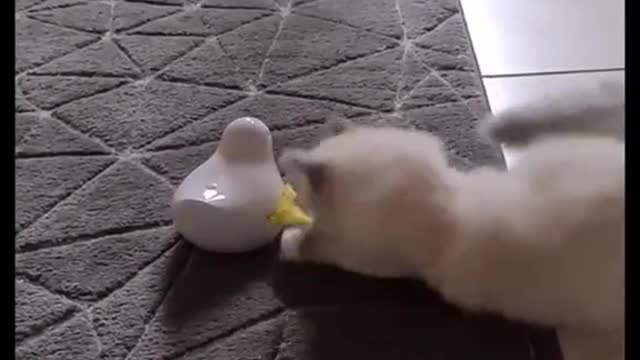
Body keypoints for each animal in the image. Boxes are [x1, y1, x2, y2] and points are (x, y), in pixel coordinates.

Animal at [280, 90, 624, 360]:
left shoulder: (369, 255)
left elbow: (315, 243)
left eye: (298, 190)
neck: (447, 202)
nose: (292, 197)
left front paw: (288, 239)